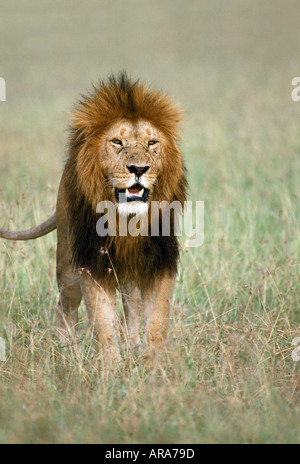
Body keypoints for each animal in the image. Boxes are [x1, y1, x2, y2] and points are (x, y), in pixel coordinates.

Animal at [0, 73, 188, 358]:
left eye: (152, 143)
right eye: (117, 142)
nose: (139, 168)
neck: (128, 222)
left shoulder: (159, 262)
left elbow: (156, 320)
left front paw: (153, 363)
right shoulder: (92, 263)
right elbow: (104, 324)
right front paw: (110, 367)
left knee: (131, 304)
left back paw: (132, 346)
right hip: (67, 264)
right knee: (63, 306)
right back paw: (68, 352)